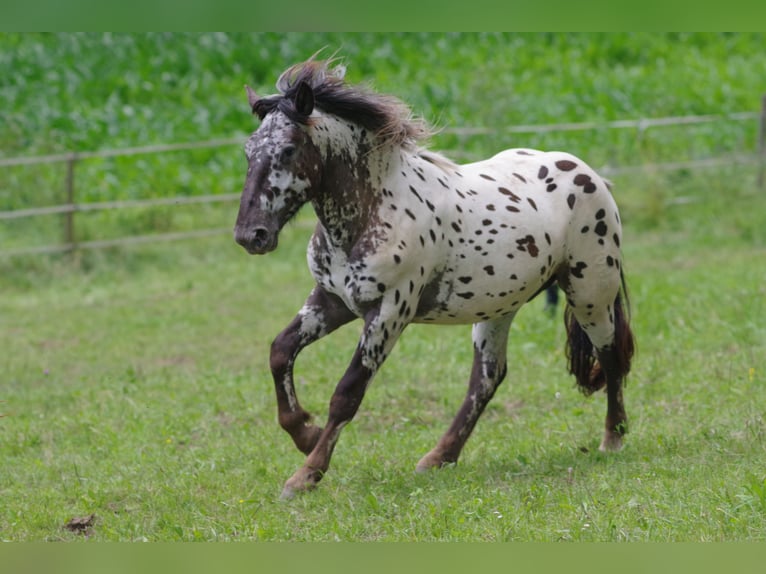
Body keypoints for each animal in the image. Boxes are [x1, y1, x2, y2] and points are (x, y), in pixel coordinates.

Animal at [234, 59, 636, 500]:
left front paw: (306, 474)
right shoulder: (332, 300)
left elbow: (347, 392)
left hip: (590, 292)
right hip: (500, 305)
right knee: (487, 377)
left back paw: (613, 438)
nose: (251, 235)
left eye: (288, 150)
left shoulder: (389, 311)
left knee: (610, 354)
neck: (374, 210)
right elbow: (279, 351)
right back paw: (439, 457)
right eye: (248, 151)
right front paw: (304, 432)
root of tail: (591, 176)